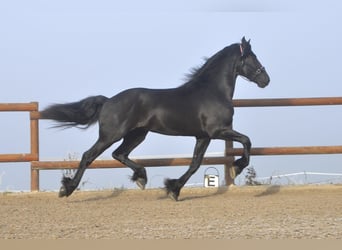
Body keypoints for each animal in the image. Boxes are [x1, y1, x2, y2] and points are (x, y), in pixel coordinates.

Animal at [40, 37, 270, 201]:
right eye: (253, 57)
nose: (266, 80)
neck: (212, 91)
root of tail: (108, 101)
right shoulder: (218, 131)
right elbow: (247, 141)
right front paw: (237, 167)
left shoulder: (203, 136)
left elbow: (195, 163)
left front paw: (173, 189)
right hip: (111, 135)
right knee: (89, 156)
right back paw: (67, 189)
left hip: (137, 135)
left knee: (119, 154)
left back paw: (141, 177)